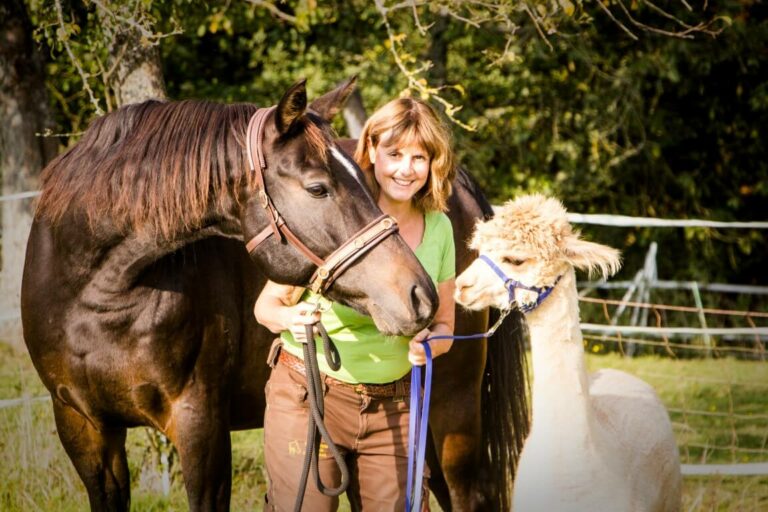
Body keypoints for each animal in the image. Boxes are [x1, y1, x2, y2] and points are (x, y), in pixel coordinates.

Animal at [22, 77, 528, 512]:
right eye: (318, 188)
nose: (420, 294)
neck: (99, 291)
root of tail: (460, 184)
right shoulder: (83, 428)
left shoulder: (200, 423)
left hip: (451, 407)